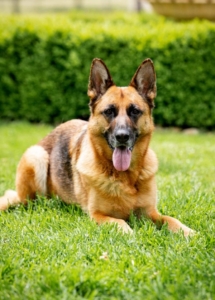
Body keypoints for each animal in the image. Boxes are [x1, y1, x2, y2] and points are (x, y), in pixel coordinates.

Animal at [0, 58, 194, 237]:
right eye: (109, 111)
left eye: (134, 111)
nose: (122, 137)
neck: (125, 178)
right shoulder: (97, 216)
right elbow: (121, 223)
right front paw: (131, 235)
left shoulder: (151, 213)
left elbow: (170, 219)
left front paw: (188, 232)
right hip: (36, 156)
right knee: (32, 203)